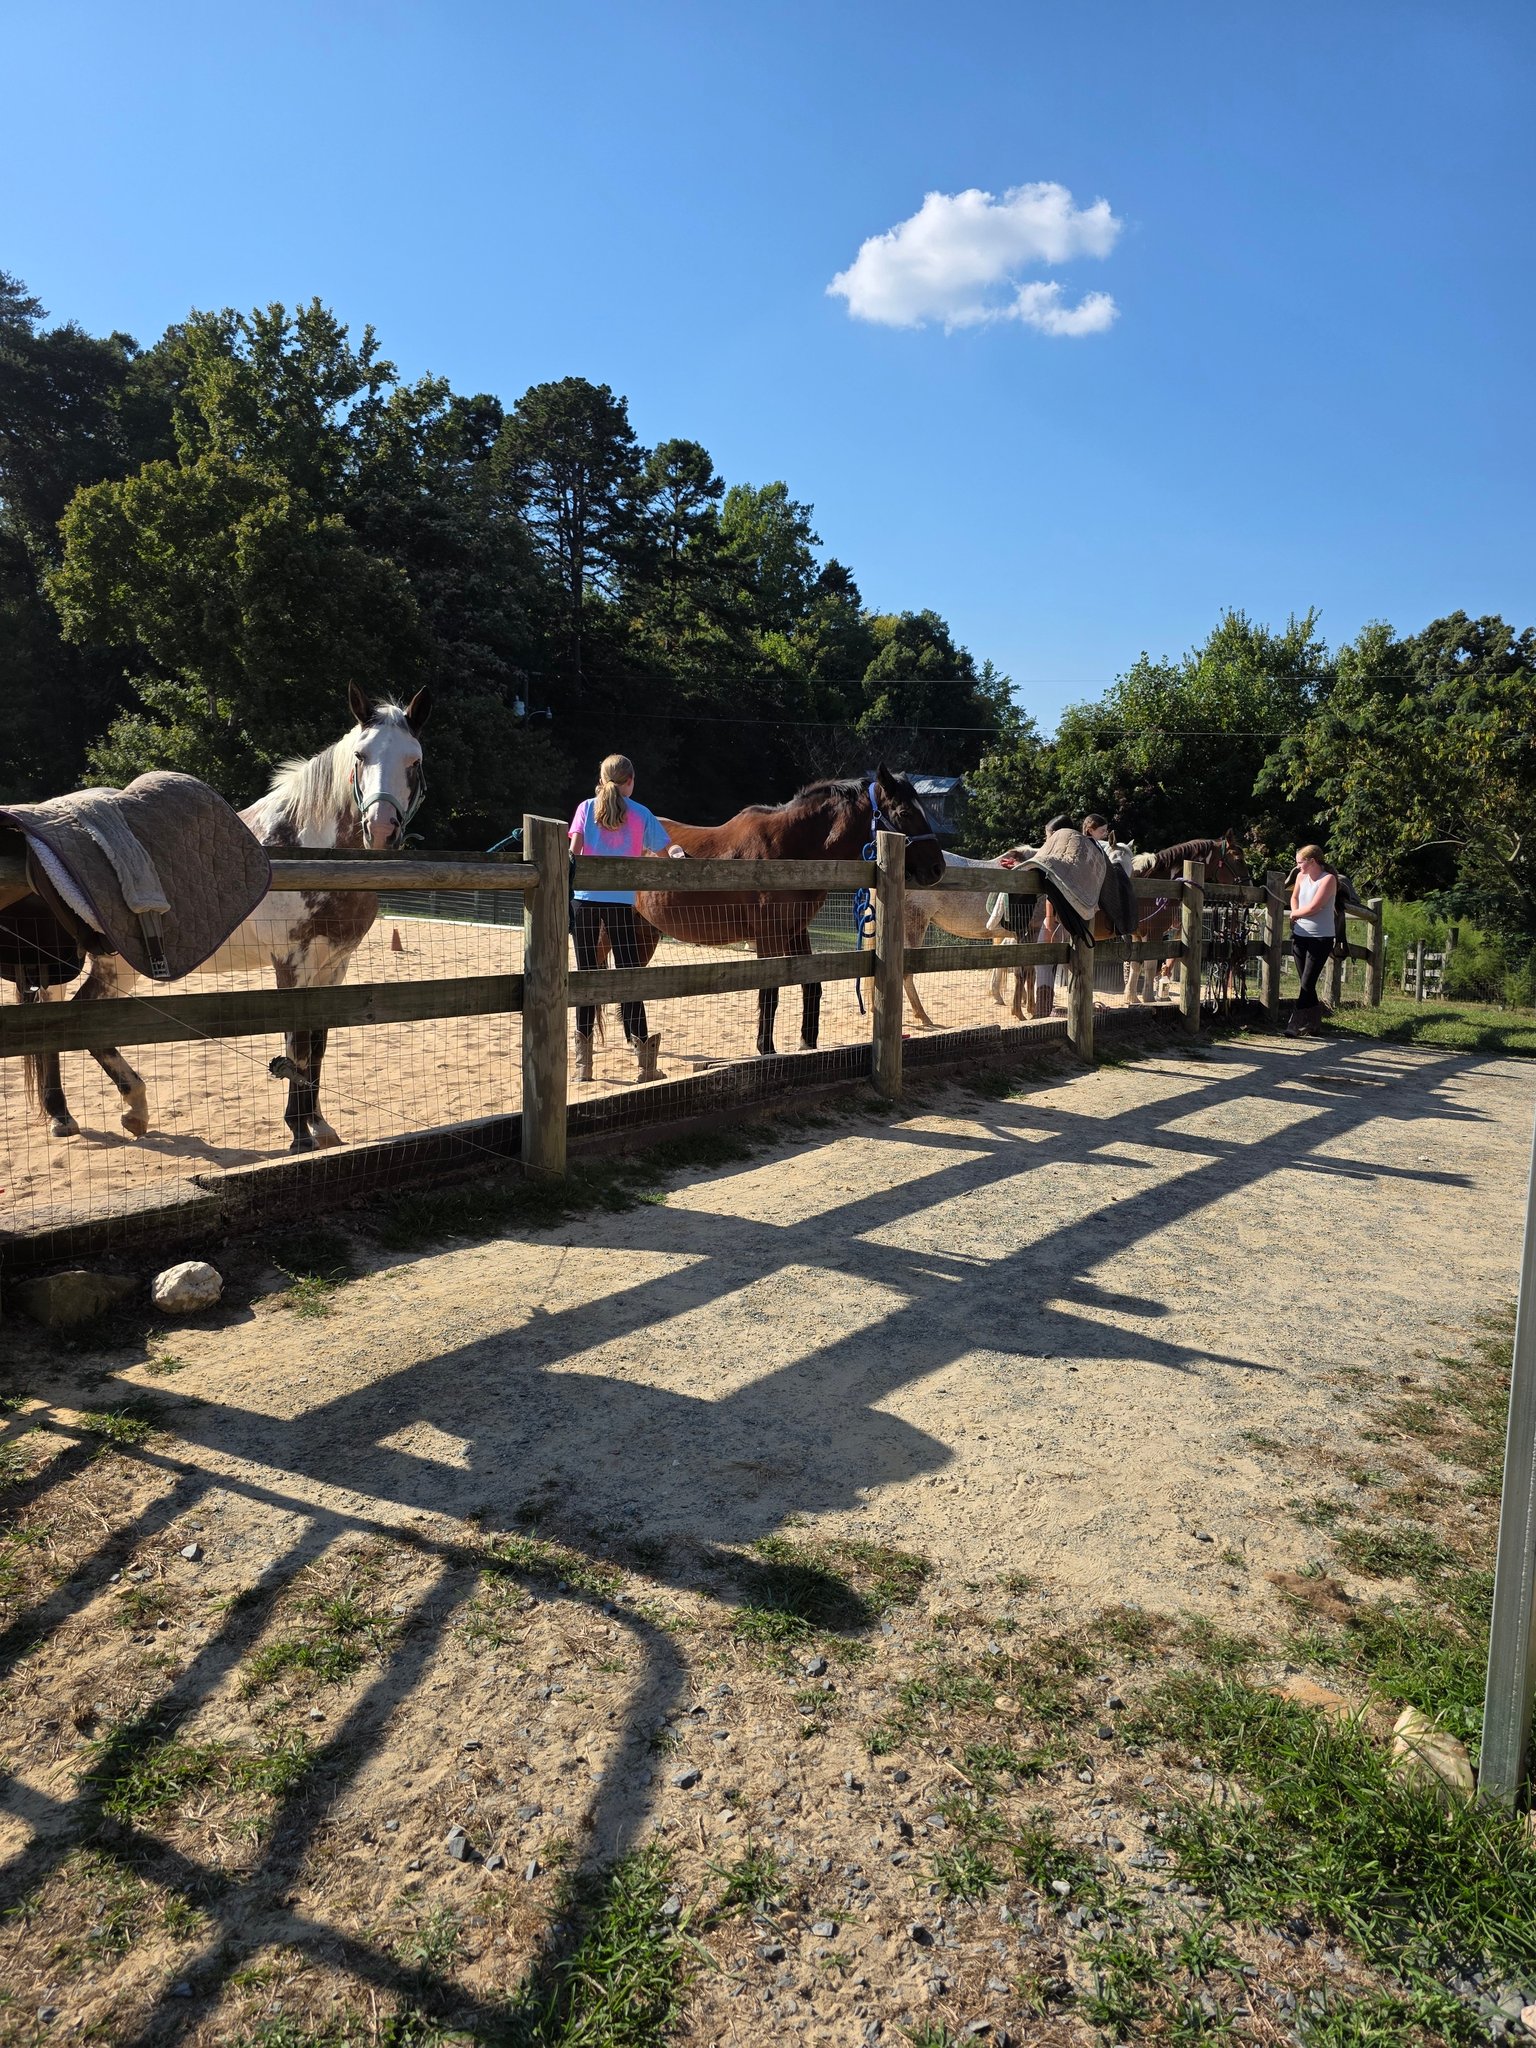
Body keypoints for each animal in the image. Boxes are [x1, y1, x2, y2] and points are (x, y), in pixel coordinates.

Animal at [20, 685, 430, 1152]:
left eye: (414, 761)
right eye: (361, 756)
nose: (380, 829)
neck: (308, 851)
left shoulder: (334, 967)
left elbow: (317, 1046)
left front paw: (320, 1126)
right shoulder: (293, 965)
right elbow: (297, 1045)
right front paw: (298, 1134)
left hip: (114, 967)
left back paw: (103, 1112)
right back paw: (86, 1112)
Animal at [594, 767, 945, 1059]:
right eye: (903, 812)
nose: (937, 868)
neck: (791, 851)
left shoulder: (796, 931)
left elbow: (811, 986)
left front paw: (808, 1043)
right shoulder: (769, 937)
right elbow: (769, 993)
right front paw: (766, 1048)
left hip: (643, 932)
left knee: (631, 980)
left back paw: (637, 1041)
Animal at [1123, 831, 1245, 1003]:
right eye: (1239, 859)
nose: (1249, 884)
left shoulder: (1138, 934)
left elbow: (1136, 964)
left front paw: (1132, 997)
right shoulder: (1153, 932)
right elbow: (1150, 964)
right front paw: (1148, 998)